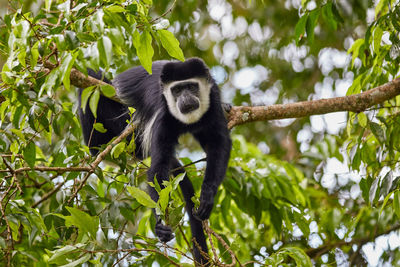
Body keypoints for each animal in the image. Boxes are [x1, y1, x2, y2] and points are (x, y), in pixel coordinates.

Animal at [77, 58, 231, 266]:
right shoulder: (164, 117)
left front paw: (207, 195)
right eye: (177, 90)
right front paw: (160, 225)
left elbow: (219, 144)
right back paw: (96, 147)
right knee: (92, 77)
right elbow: (158, 170)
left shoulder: (212, 100)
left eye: (191, 86)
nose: (185, 99)